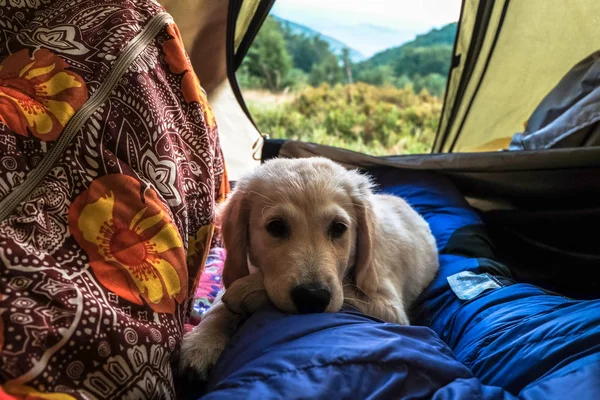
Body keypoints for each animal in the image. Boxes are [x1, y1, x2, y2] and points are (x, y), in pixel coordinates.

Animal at [180, 156, 438, 378]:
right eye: (276, 227)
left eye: (339, 228)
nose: (313, 297)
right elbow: (219, 305)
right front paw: (202, 340)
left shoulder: (390, 308)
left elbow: (347, 292)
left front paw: (247, 292)